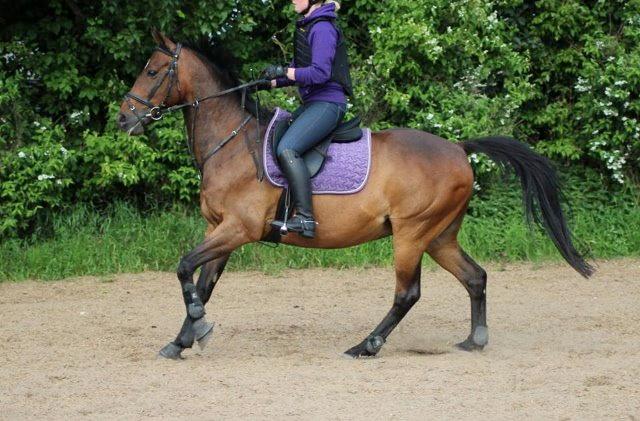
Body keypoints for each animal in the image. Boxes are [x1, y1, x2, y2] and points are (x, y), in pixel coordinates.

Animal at [117, 31, 593, 360]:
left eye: (153, 71)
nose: (124, 119)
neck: (231, 142)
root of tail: (459, 148)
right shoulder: (219, 229)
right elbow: (202, 283)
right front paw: (182, 340)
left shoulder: (239, 228)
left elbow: (184, 268)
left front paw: (197, 328)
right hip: (440, 236)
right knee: (475, 277)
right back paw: (474, 340)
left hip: (411, 234)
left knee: (407, 293)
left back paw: (366, 346)